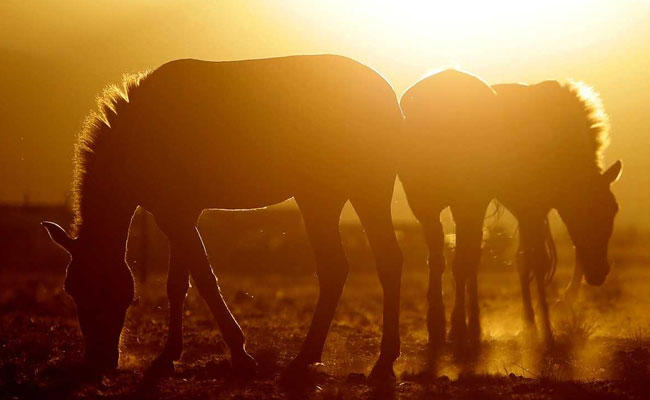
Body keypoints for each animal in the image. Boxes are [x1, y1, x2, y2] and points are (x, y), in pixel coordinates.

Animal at [42, 54, 404, 380]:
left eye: (95, 286)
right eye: (71, 288)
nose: (98, 361)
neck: (139, 135)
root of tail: (389, 99)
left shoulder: (175, 216)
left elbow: (204, 280)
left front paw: (240, 355)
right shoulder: (178, 214)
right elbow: (178, 285)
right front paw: (168, 356)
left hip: (327, 198)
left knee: (338, 268)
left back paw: (313, 360)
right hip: (353, 196)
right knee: (378, 262)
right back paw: (376, 362)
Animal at [398, 69, 620, 351]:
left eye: (613, 210)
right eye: (595, 210)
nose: (600, 273)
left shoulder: (524, 209)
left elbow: (521, 261)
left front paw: (530, 325)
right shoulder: (532, 207)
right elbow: (536, 261)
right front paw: (545, 331)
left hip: (433, 204)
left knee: (450, 257)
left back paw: (450, 326)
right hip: (464, 202)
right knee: (464, 260)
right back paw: (461, 328)